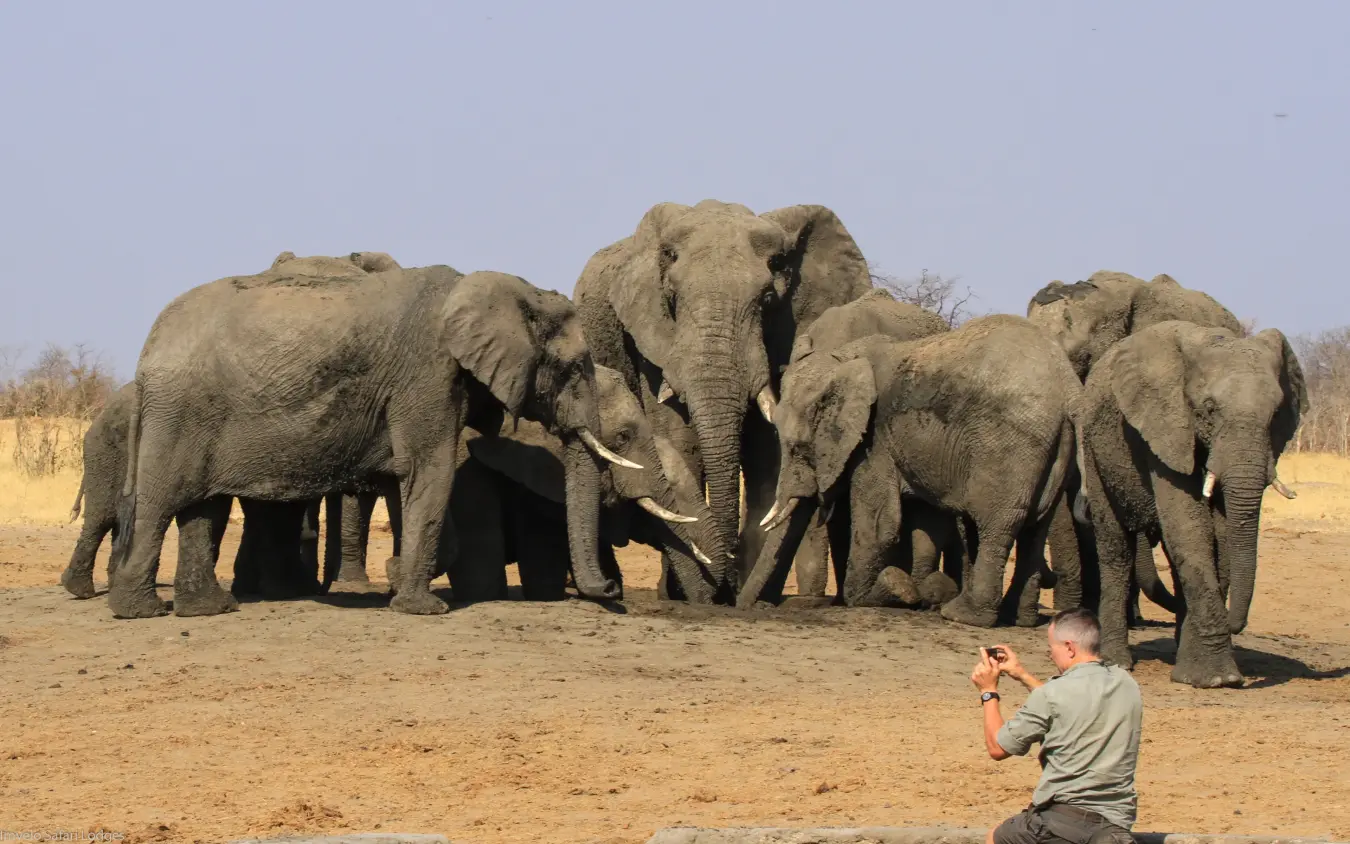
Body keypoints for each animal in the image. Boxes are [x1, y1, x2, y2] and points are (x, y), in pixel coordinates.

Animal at [109, 263, 638, 619]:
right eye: (573, 368)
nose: (612, 590)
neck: (506, 289)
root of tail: (148, 347)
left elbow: (407, 479)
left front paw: (402, 580)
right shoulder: (429, 375)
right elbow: (429, 471)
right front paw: (423, 608)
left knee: (204, 507)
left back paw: (208, 609)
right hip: (179, 411)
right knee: (160, 503)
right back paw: (140, 612)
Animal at [574, 200, 873, 597]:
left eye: (767, 301)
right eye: (673, 298)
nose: (727, 585)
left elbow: (767, 452)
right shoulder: (652, 337)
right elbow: (678, 433)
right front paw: (691, 593)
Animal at [1077, 321, 1307, 687]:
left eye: (1275, 414)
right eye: (1209, 408)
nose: (1234, 624)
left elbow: (1220, 538)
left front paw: (1199, 674)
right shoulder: (1165, 429)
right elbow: (1189, 528)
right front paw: (1218, 679)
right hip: (1094, 448)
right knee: (1116, 547)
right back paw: (1115, 661)